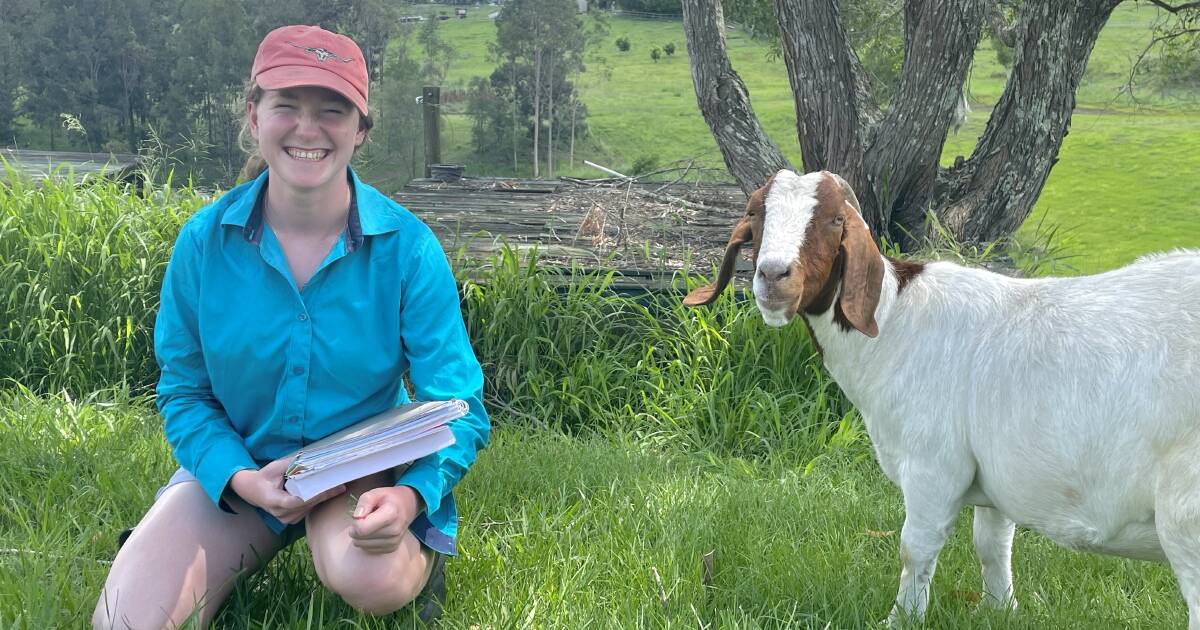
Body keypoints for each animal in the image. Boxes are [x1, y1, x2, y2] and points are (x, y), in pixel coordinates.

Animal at [686, 166, 1200, 624]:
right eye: (756, 214)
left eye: (833, 220)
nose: (774, 276)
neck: (895, 321)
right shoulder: (993, 478)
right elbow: (992, 545)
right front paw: (1001, 610)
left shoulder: (933, 465)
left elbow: (915, 549)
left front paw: (901, 620)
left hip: (1185, 514)